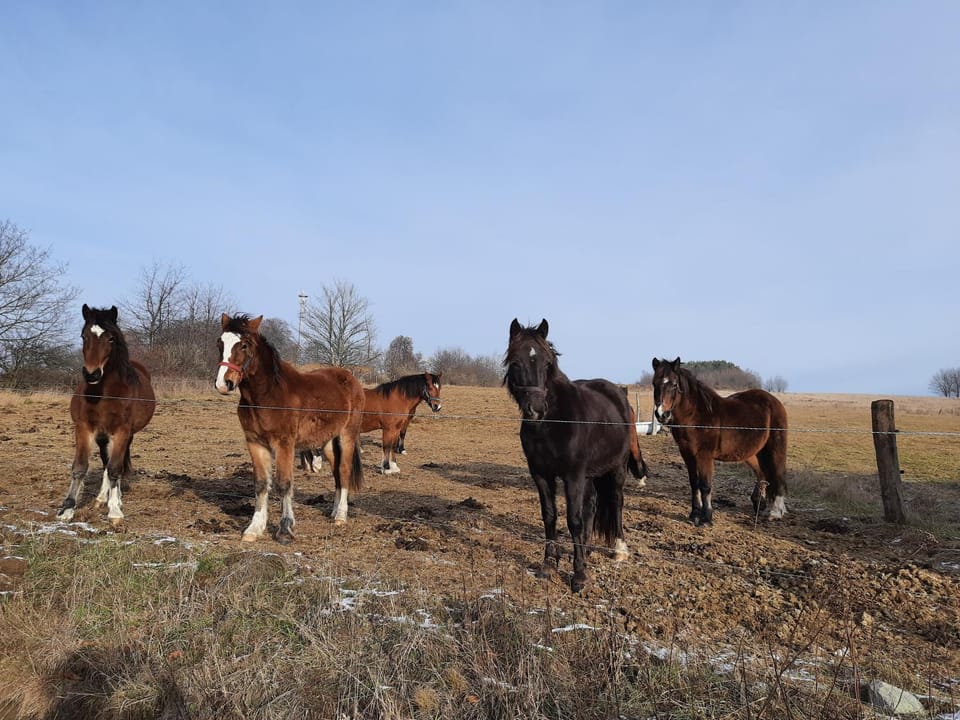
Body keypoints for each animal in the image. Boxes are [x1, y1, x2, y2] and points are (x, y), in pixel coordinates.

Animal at [58, 304, 156, 526]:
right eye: (84, 336)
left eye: (111, 338)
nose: (92, 374)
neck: (102, 394)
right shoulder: (84, 427)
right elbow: (80, 467)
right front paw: (67, 508)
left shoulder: (122, 431)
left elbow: (115, 469)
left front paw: (115, 511)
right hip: (103, 436)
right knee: (105, 460)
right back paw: (102, 498)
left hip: (126, 435)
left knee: (115, 464)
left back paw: (115, 499)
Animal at [215, 313, 365, 543]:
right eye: (220, 343)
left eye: (244, 345)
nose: (224, 384)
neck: (267, 395)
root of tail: (352, 379)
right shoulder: (255, 442)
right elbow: (261, 483)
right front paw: (254, 528)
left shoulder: (284, 443)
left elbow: (284, 483)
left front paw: (285, 528)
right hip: (328, 442)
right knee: (336, 473)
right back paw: (333, 511)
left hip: (346, 435)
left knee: (344, 470)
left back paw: (341, 516)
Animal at [300, 371, 442, 475]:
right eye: (430, 387)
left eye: (439, 387)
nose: (437, 406)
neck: (397, 399)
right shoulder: (389, 429)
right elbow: (387, 446)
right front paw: (386, 468)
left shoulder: (397, 429)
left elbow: (393, 446)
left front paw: (394, 466)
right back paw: (316, 464)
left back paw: (309, 465)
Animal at [504, 318, 648, 593]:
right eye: (515, 362)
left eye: (547, 364)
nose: (535, 409)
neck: (552, 423)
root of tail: (619, 394)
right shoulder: (541, 475)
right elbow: (550, 516)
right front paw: (549, 564)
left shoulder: (573, 476)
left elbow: (574, 520)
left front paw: (579, 575)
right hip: (590, 475)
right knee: (592, 505)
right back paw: (588, 548)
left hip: (616, 469)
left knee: (616, 501)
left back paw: (619, 550)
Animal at [651, 357, 788, 525]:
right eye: (654, 383)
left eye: (674, 384)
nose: (661, 414)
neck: (695, 416)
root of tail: (774, 401)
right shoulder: (687, 455)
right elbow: (694, 484)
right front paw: (694, 514)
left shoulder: (704, 456)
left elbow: (705, 485)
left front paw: (706, 518)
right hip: (753, 453)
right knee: (763, 475)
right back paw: (761, 505)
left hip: (775, 448)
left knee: (778, 476)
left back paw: (775, 512)